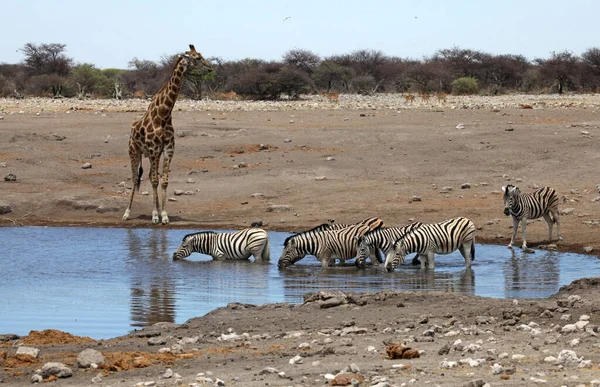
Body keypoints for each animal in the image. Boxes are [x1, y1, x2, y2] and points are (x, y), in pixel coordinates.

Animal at [122, 44, 213, 226]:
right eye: (197, 58)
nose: (210, 68)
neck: (163, 114)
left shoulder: (168, 149)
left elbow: (163, 181)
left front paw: (163, 215)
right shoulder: (154, 148)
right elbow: (155, 181)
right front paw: (154, 215)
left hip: (150, 154)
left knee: (149, 176)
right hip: (134, 152)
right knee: (135, 179)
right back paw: (127, 213)